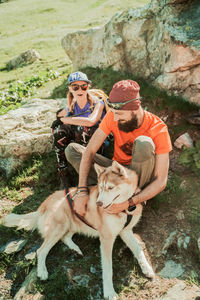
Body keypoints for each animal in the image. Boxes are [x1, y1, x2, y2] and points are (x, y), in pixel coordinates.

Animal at [1, 162, 155, 300]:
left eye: (110, 187)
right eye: (101, 187)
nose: (98, 203)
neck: (124, 209)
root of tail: (43, 205)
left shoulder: (126, 231)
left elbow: (139, 251)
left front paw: (147, 269)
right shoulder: (106, 239)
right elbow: (108, 269)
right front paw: (109, 292)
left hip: (73, 225)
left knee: (65, 238)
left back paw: (75, 249)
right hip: (60, 225)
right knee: (41, 250)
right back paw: (43, 272)